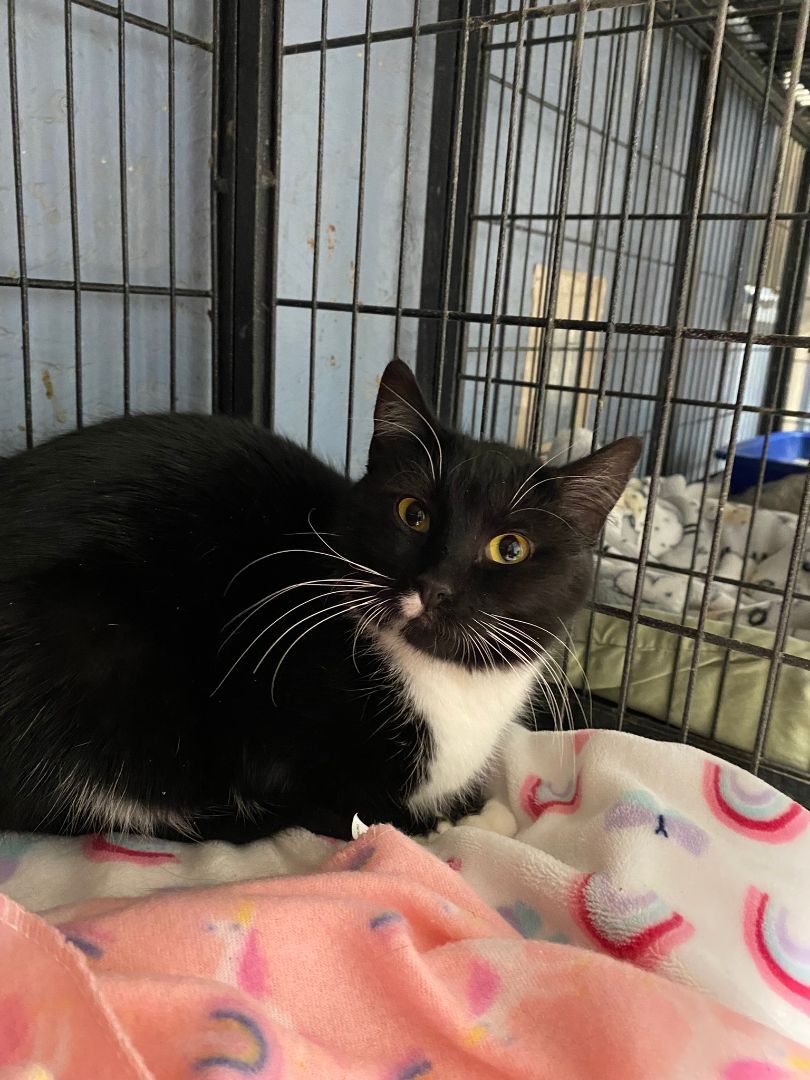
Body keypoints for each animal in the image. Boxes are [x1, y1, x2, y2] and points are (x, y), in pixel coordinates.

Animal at [0, 358, 639, 838]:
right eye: (412, 513)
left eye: (511, 548)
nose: (434, 586)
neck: (448, 685)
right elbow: (360, 809)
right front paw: (460, 819)